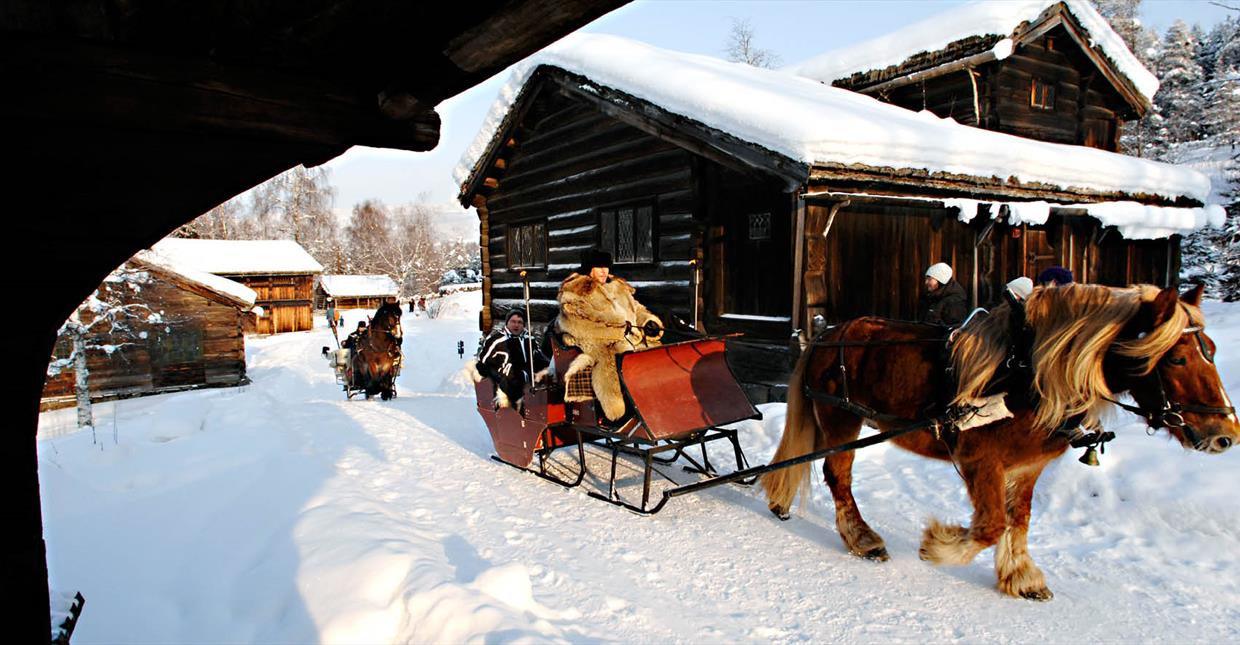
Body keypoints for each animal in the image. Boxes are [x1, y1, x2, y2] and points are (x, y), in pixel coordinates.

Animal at [758, 285, 1235, 602]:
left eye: (1211, 350)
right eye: (1177, 357)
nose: (1225, 434)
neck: (1027, 374)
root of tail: (827, 332)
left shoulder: (1026, 468)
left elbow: (1017, 522)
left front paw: (1021, 577)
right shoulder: (978, 459)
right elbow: (989, 525)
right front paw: (938, 545)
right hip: (841, 418)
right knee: (837, 475)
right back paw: (863, 539)